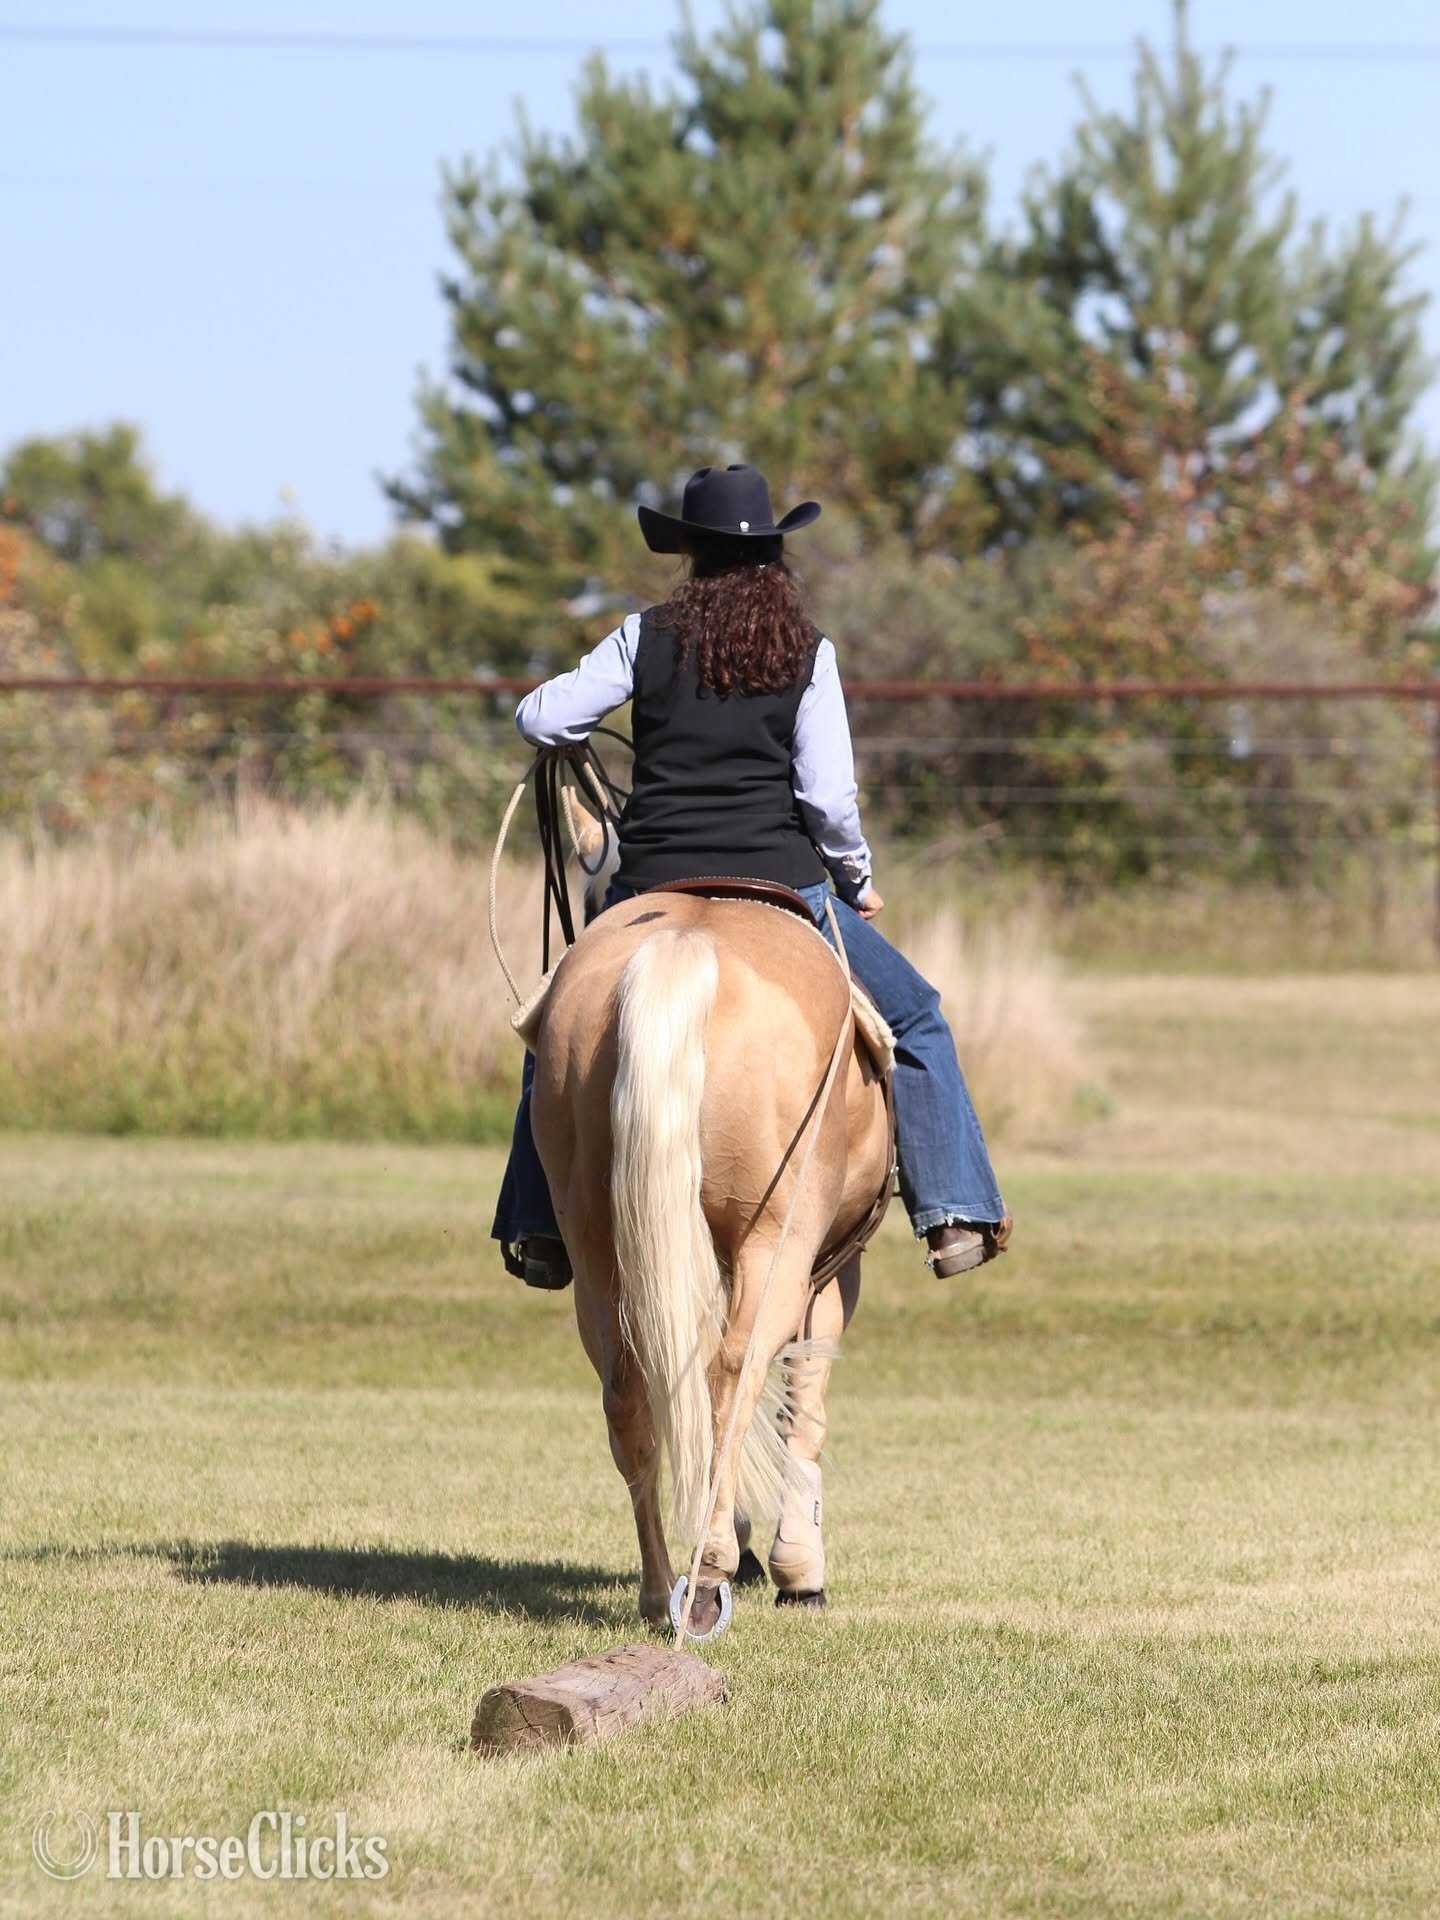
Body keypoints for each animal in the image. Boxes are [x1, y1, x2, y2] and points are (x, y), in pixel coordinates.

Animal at [529, 886, 892, 1636]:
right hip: (776, 1244)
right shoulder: (830, 1273)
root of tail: (687, 941)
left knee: (631, 1391)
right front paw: (797, 1568)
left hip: (597, 1248)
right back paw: (711, 1571)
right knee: (733, 1377)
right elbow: (803, 1406)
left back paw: (660, 1586)